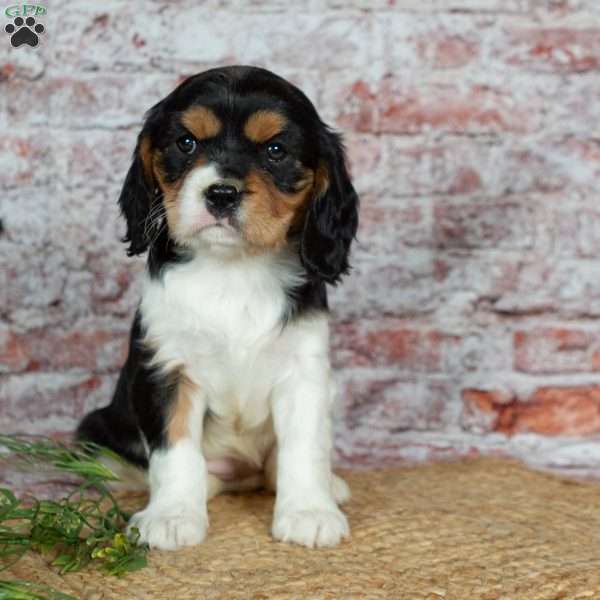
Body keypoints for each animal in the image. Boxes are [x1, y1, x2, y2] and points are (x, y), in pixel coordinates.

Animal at [74, 64, 356, 548]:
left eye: (276, 150)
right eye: (186, 143)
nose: (221, 193)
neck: (233, 268)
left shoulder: (305, 370)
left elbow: (304, 446)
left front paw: (309, 511)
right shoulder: (166, 368)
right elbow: (174, 449)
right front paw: (171, 517)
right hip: (96, 427)